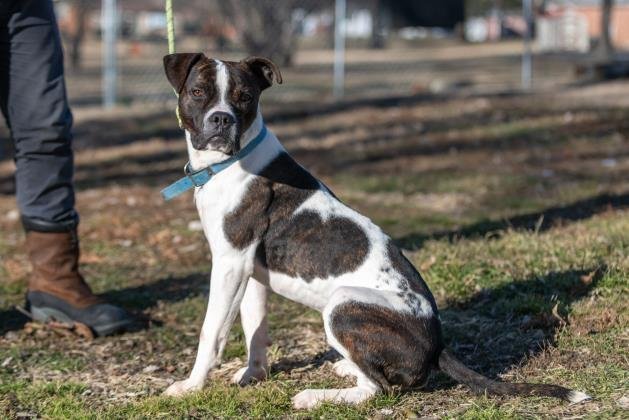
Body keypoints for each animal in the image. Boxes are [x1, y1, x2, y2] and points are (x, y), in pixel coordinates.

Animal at [161, 54, 588, 408]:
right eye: (198, 92)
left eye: (245, 97)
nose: (222, 119)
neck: (230, 161)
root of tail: (437, 343)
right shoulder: (248, 268)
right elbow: (254, 328)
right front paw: (254, 374)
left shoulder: (229, 263)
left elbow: (212, 331)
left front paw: (191, 386)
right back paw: (345, 368)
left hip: (342, 304)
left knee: (378, 390)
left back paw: (317, 396)